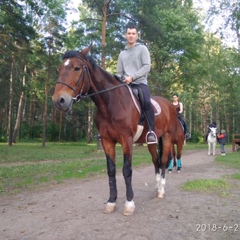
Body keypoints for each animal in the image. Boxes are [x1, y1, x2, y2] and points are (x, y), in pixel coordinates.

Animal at [52, 47, 180, 216]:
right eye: (59, 69)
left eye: (77, 68)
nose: (59, 100)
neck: (110, 103)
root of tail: (169, 105)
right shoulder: (107, 141)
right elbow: (111, 170)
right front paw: (111, 202)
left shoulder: (126, 140)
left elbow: (126, 170)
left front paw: (129, 203)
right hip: (151, 142)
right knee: (156, 161)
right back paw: (156, 187)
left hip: (167, 138)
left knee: (164, 161)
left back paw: (161, 191)